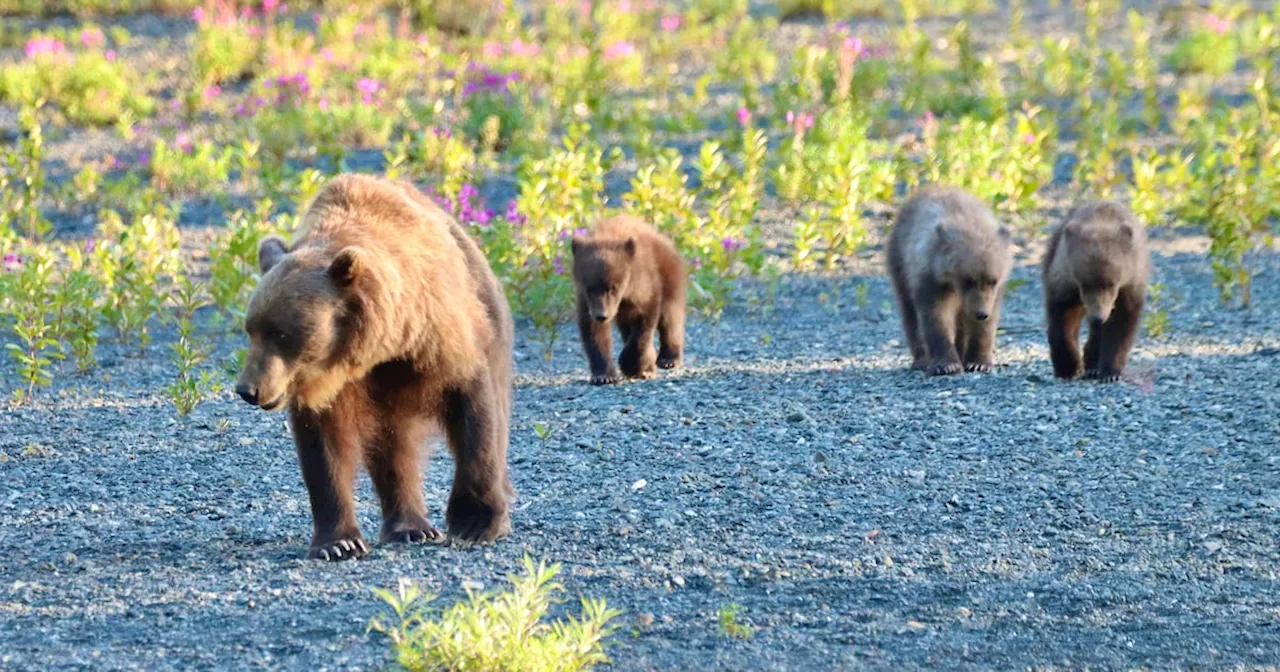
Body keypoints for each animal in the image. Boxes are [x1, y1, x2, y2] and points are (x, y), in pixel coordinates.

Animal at [234, 173, 515, 561]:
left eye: (280, 332)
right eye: (251, 329)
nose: (248, 389)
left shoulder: (441, 340)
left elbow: (475, 413)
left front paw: (476, 522)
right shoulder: (329, 385)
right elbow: (324, 448)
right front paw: (339, 542)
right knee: (392, 445)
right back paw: (410, 526)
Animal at [570, 215, 687, 385]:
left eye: (613, 288)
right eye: (589, 288)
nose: (602, 315)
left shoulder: (643, 286)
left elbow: (644, 324)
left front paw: (631, 364)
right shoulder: (587, 302)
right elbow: (594, 332)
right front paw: (603, 375)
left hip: (669, 275)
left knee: (670, 316)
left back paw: (668, 359)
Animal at [886, 185, 1013, 376]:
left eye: (993, 280)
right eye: (968, 280)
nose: (981, 313)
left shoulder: (993, 292)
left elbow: (985, 325)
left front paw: (979, 363)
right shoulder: (930, 278)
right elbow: (936, 316)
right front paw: (947, 365)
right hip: (899, 261)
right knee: (910, 313)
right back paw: (921, 360)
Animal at [1042, 200, 1150, 383]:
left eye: (1111, 283)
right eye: (1085, 284)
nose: (1098, 316)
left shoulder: (1129, 285)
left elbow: (1121, 326)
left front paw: (1110, 372)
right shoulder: (1065, 280)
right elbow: (1063, 321)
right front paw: (1068, 368)